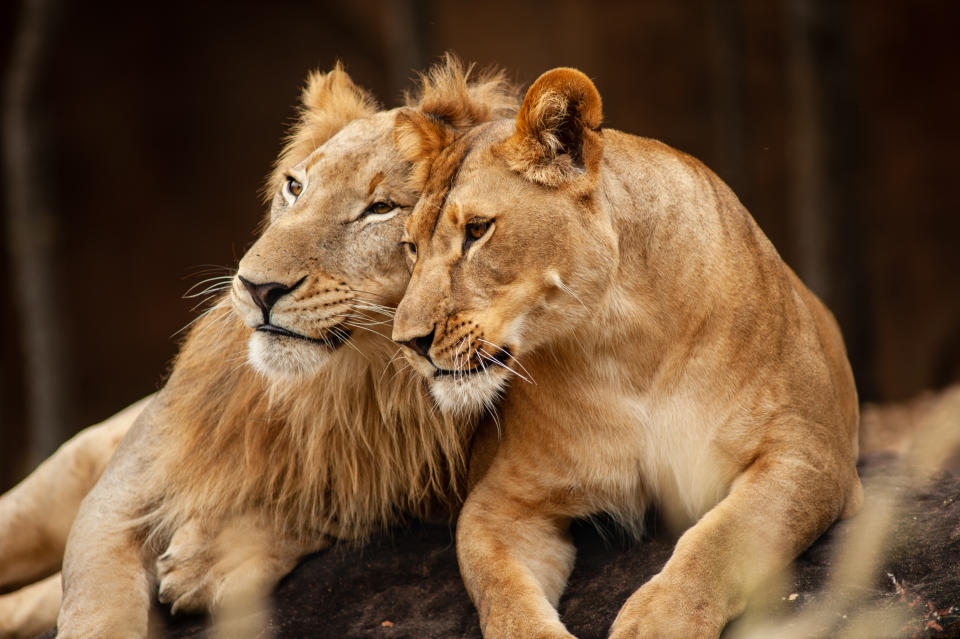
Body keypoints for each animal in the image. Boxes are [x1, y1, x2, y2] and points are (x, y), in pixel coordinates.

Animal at [0, 57, 516, 636]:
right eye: (295, 186)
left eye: (382, 208)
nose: (257, 287)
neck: (352, 382)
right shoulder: (119, 493)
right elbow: (99, 610)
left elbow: (334, 499)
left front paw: (209, 560)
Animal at [390, 67, 864, 636]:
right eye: (411, 247)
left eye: (478, 230)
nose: (407, 342)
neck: (622, 342)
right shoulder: (501, 502)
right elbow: (502, 591)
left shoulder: (812, 453)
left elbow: (723, 537)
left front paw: (659, 620)